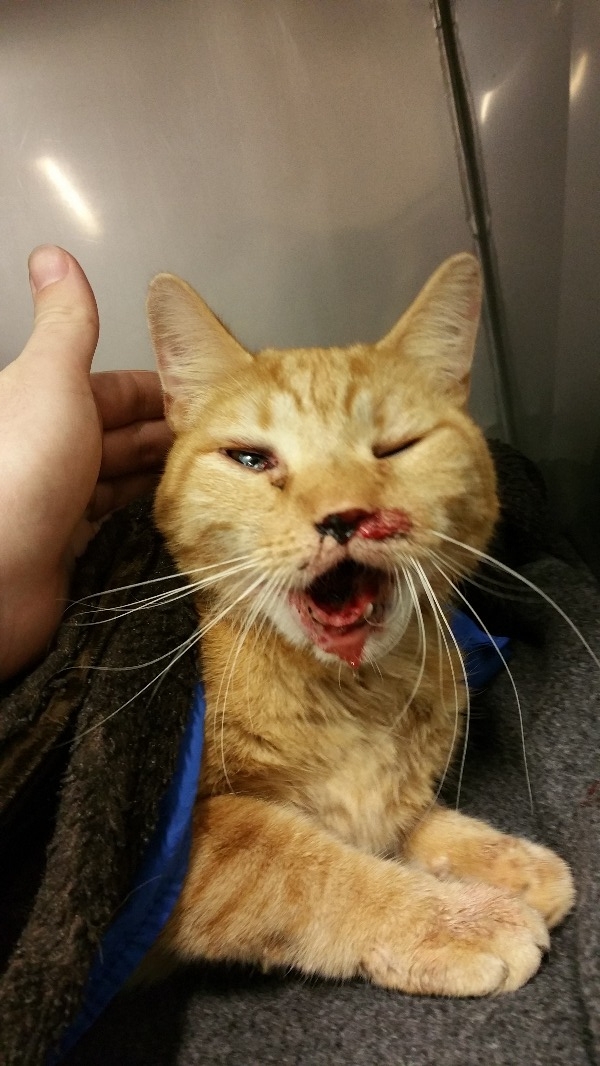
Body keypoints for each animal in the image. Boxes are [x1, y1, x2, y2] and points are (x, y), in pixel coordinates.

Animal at [142, 253, 574, 996]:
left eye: (398, 447)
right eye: (251, 459)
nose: (344, 517)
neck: (355, 697)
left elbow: (408, 819)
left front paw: (500, 861)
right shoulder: (187, 852)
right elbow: (307, 865)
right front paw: (458, 918)